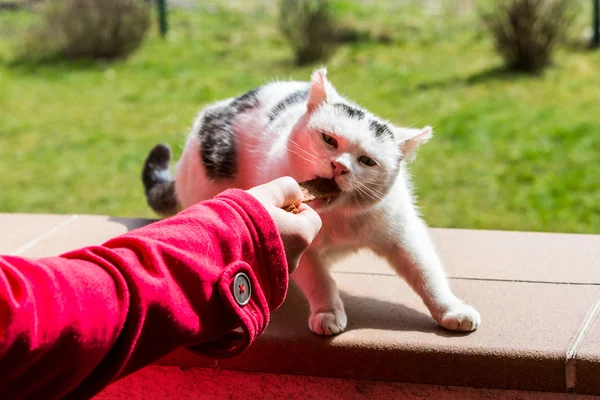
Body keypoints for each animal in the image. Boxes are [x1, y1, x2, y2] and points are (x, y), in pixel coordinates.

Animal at [139, 69, 478, 334]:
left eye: (367, 161)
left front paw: (452, 310)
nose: (339, 167)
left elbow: (425, 271)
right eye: (329, 140)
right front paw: (328, 313)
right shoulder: (306, 249)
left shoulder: (404, 232)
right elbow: (318, 279)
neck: (338, 218)